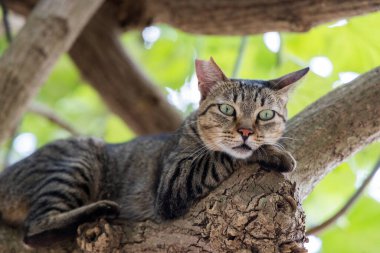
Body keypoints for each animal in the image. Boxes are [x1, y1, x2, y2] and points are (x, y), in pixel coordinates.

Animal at [0, 57, 308, 247]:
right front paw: (274, 153)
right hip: (78, 161)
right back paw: (100, 208)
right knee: (35, 229)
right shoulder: (174, 180)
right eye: (226, 109)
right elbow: (222, 155)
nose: (245, 132)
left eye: (265, 114)